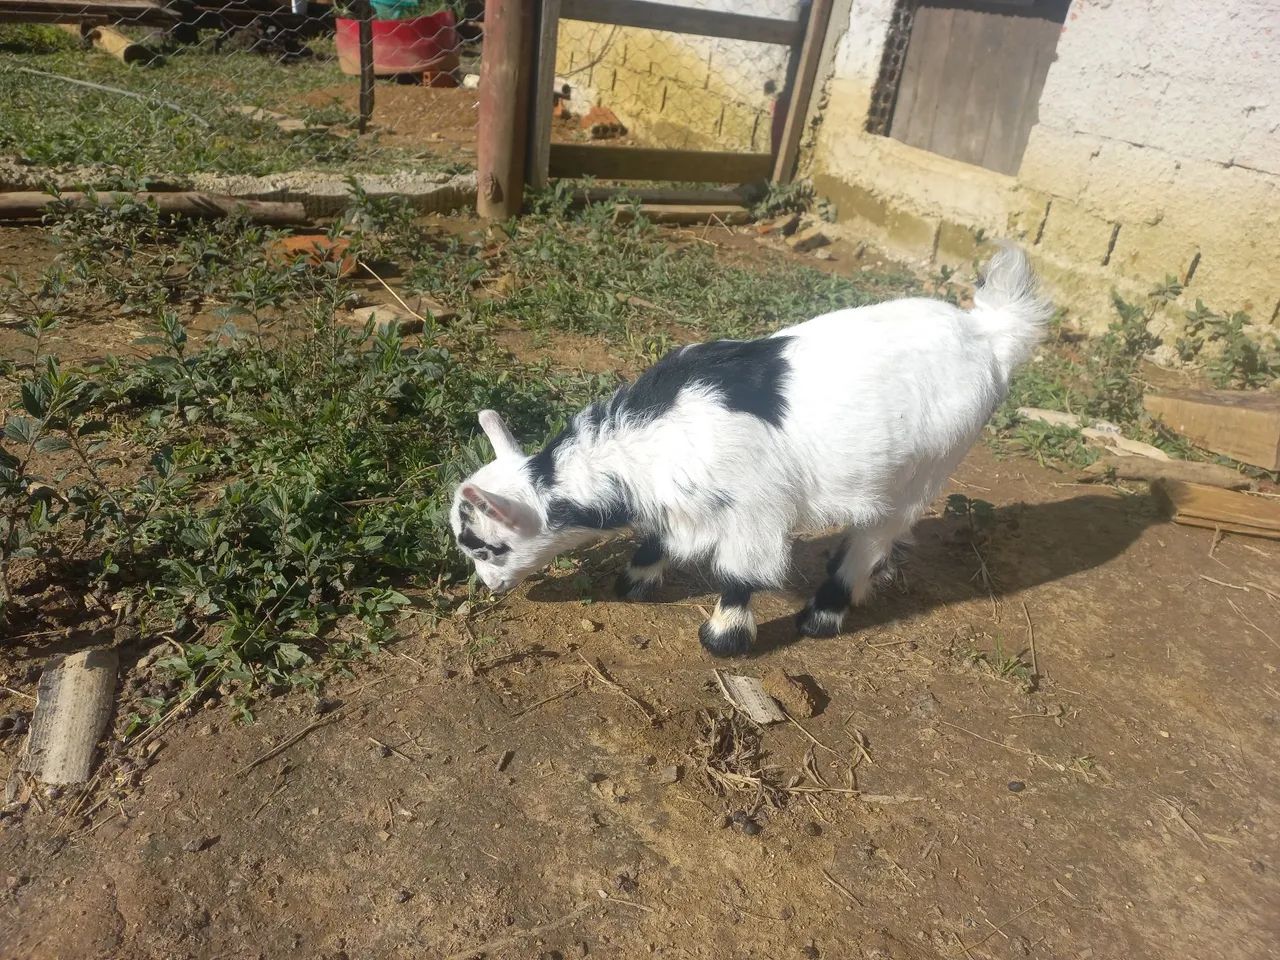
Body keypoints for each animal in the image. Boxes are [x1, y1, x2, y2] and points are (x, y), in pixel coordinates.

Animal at [450, 243, 1050, 656]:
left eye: (487, 548)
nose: (492, 589)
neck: (654, 435)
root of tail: (986, 333)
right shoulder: (678, 497)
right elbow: (657, 537)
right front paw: (635, 581)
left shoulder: (754, 509)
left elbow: (741, 573)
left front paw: (723, 638)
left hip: (928, 468)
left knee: (876, 535)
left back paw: (822, 616)